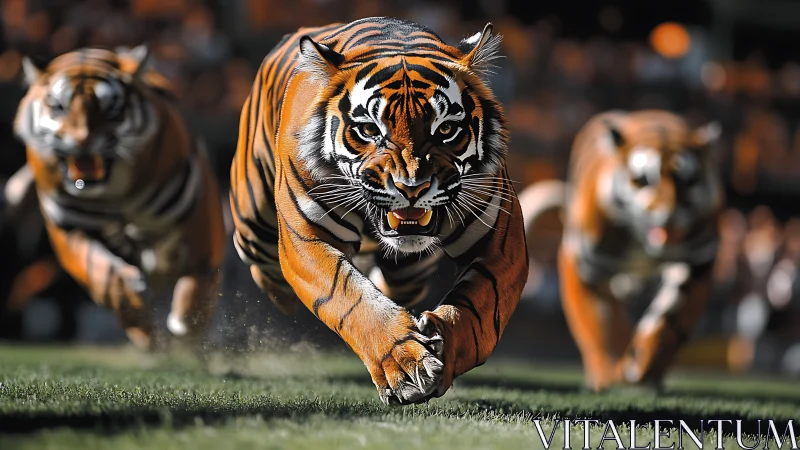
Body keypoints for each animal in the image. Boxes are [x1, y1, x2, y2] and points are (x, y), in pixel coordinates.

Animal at [13, 46, 227, 351]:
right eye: (59, 107)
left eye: (110, 110)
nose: (82, 141)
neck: (112, 192)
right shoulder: (68, 228)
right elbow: (102, 274)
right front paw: (137, 309)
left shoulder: (197, 202)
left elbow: (200, 270)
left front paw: (188, 321)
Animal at [229, 17, 529, 405]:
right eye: (370, 130)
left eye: (446, 129)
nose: (412, 187)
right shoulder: (307, 241)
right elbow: (350, 297)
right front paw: (407, 365)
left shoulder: (502, 247)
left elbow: (480, 311)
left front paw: (441, 347)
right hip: (253, 225)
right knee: (261, 262)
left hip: (411, 271)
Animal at [519, 110, 724, 392]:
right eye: (643, 181)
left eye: (686, 182)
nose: (668, 217)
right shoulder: (585, 265)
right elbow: (598, 322)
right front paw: (607, 372)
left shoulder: (696, 261)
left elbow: (667, 319)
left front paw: (645, 367)